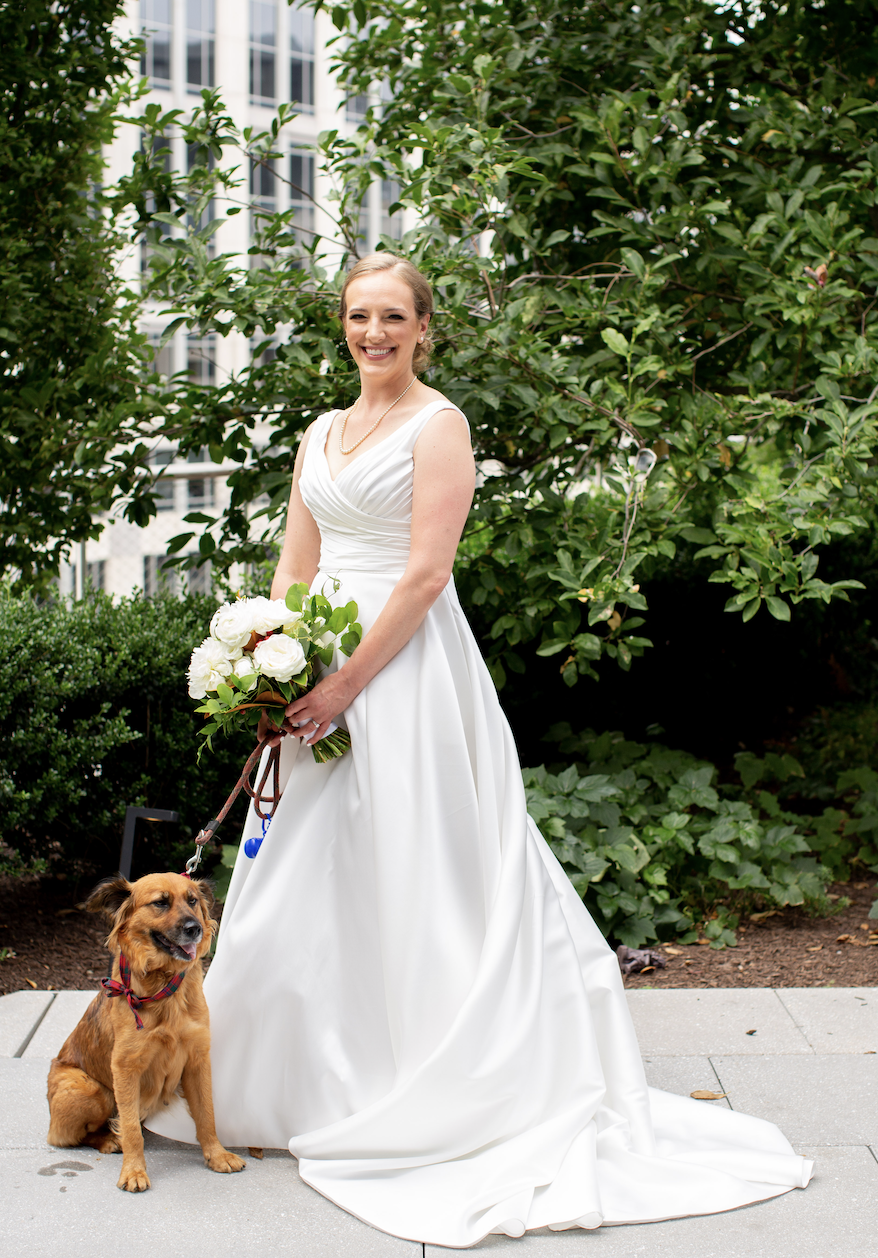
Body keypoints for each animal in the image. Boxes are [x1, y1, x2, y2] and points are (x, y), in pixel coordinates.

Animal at [47, 870, 246, 1192]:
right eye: (160, 903)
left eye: (192, 900)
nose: (195, 928)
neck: (163, 985)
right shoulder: (126, 1068)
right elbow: (130, 1129)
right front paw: (134, 1171)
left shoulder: (197, 1060)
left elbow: (207, 1114)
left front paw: (216, 1155)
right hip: (88, 1089)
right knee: (70, 1137)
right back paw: (109, 1140)